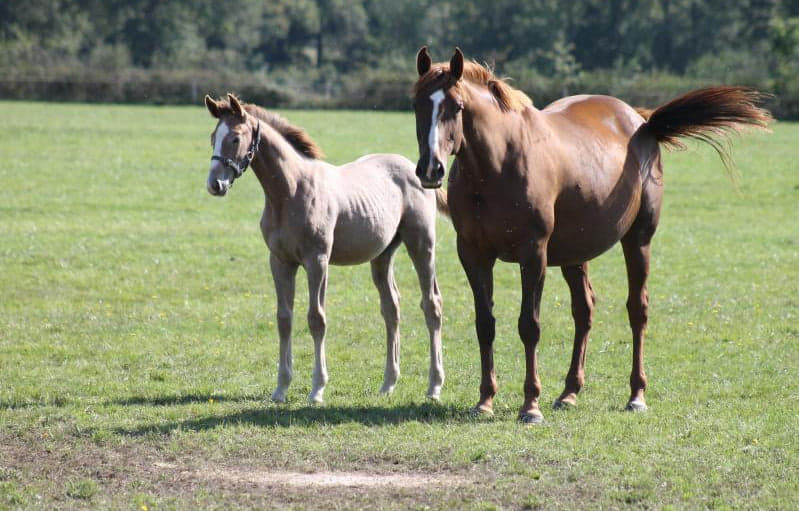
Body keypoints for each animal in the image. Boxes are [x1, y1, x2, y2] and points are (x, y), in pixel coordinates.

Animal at [205, 92, 450, 404]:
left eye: (235, 138)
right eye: (213, 137)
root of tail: (414, 168)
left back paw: (434, 386)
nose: (215, 184)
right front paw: (281, 388)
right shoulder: (279, 261)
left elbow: (316, 319)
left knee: (432, 304)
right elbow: (284, 319)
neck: (289, 192)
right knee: (391, 308)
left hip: (422, 244)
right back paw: (388, 383)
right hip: (382, 256)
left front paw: (317, 388)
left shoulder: (317, 260)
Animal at [412, 47, 768, 424]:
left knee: (637, 309)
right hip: (574, 254)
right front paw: (485, 401)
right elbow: (485, 324)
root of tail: (642, 122)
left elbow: (529, 325)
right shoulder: (473, 254)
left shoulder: (533, 254)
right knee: (584, 311)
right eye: (416, 103)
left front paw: (531, 406)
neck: (497, 166)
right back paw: (569, 393)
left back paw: (636, 395)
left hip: (638, 241)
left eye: (456, 106)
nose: (431, 169)